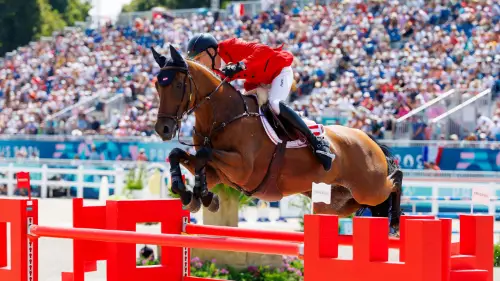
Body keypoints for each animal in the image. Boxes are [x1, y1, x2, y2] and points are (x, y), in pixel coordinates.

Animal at [151, 46, 402, 233]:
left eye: (178, 85)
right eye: (156, 86)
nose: (163, 129)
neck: (221, 116)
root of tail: (369, 139)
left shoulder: (244, 170)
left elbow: (204, 154)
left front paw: (201, 195)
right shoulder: (218, 173)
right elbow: (180, 155)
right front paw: (191, 194)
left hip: (368, 187)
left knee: (395, 179)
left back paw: (395, 224)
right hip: (340, 201)